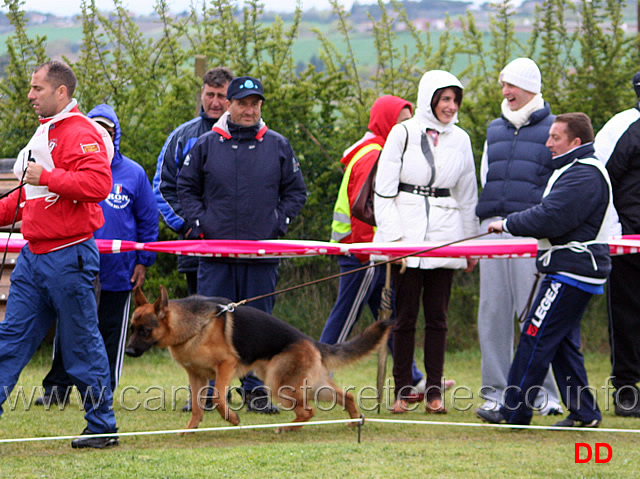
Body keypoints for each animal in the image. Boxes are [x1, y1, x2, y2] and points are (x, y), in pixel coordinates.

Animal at [126, 286, 390, 434]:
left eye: (145, 331)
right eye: (132, 329)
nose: (127, 351)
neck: (194, 326)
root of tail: (311, 342)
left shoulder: (226, 366)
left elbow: (219, 398)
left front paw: (232, 419)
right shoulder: (196, 376)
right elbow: (198, 407)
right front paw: (191, 429)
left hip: (278, 385)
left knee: (309, 411)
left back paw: (287, 428)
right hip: (312, 386)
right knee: (345, 397)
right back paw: (354, 422)